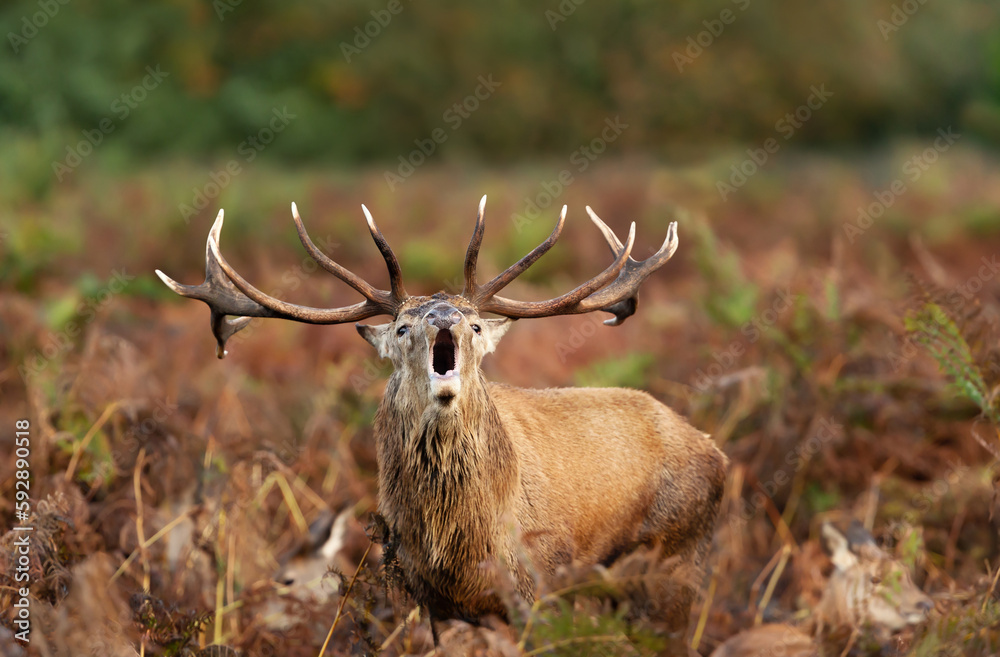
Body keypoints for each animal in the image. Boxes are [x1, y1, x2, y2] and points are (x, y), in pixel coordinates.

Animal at [156, 196, 728, 642]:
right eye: (403, 326)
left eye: (474, 324)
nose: (444, 316)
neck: (460, 546)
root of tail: (717, 452)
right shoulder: (426, 600)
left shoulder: (538, 588)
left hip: (675, 563)